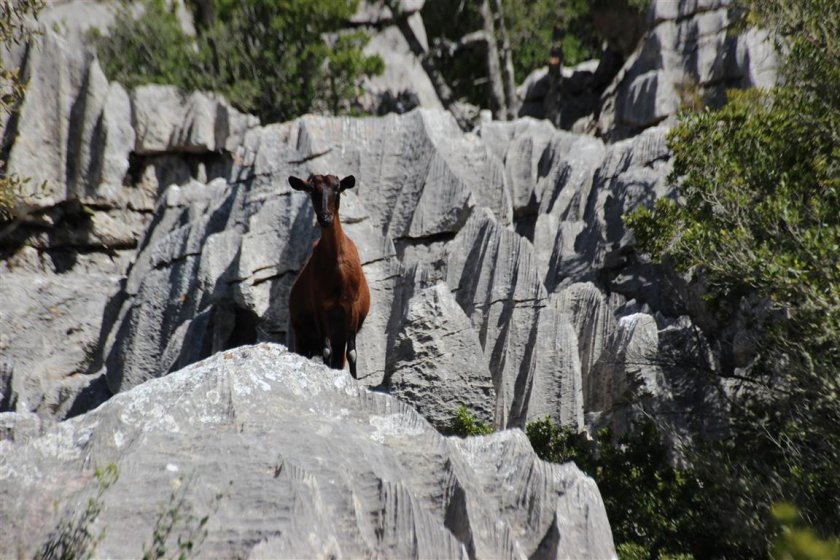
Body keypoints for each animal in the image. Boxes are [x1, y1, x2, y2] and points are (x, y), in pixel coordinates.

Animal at [288, 173, 370, 378]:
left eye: (337, 188)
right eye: (311, 190)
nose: (324, 218)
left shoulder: (352, 305)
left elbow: (352, 353)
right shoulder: (320, 305)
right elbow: (326, 350)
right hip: (301, 335)